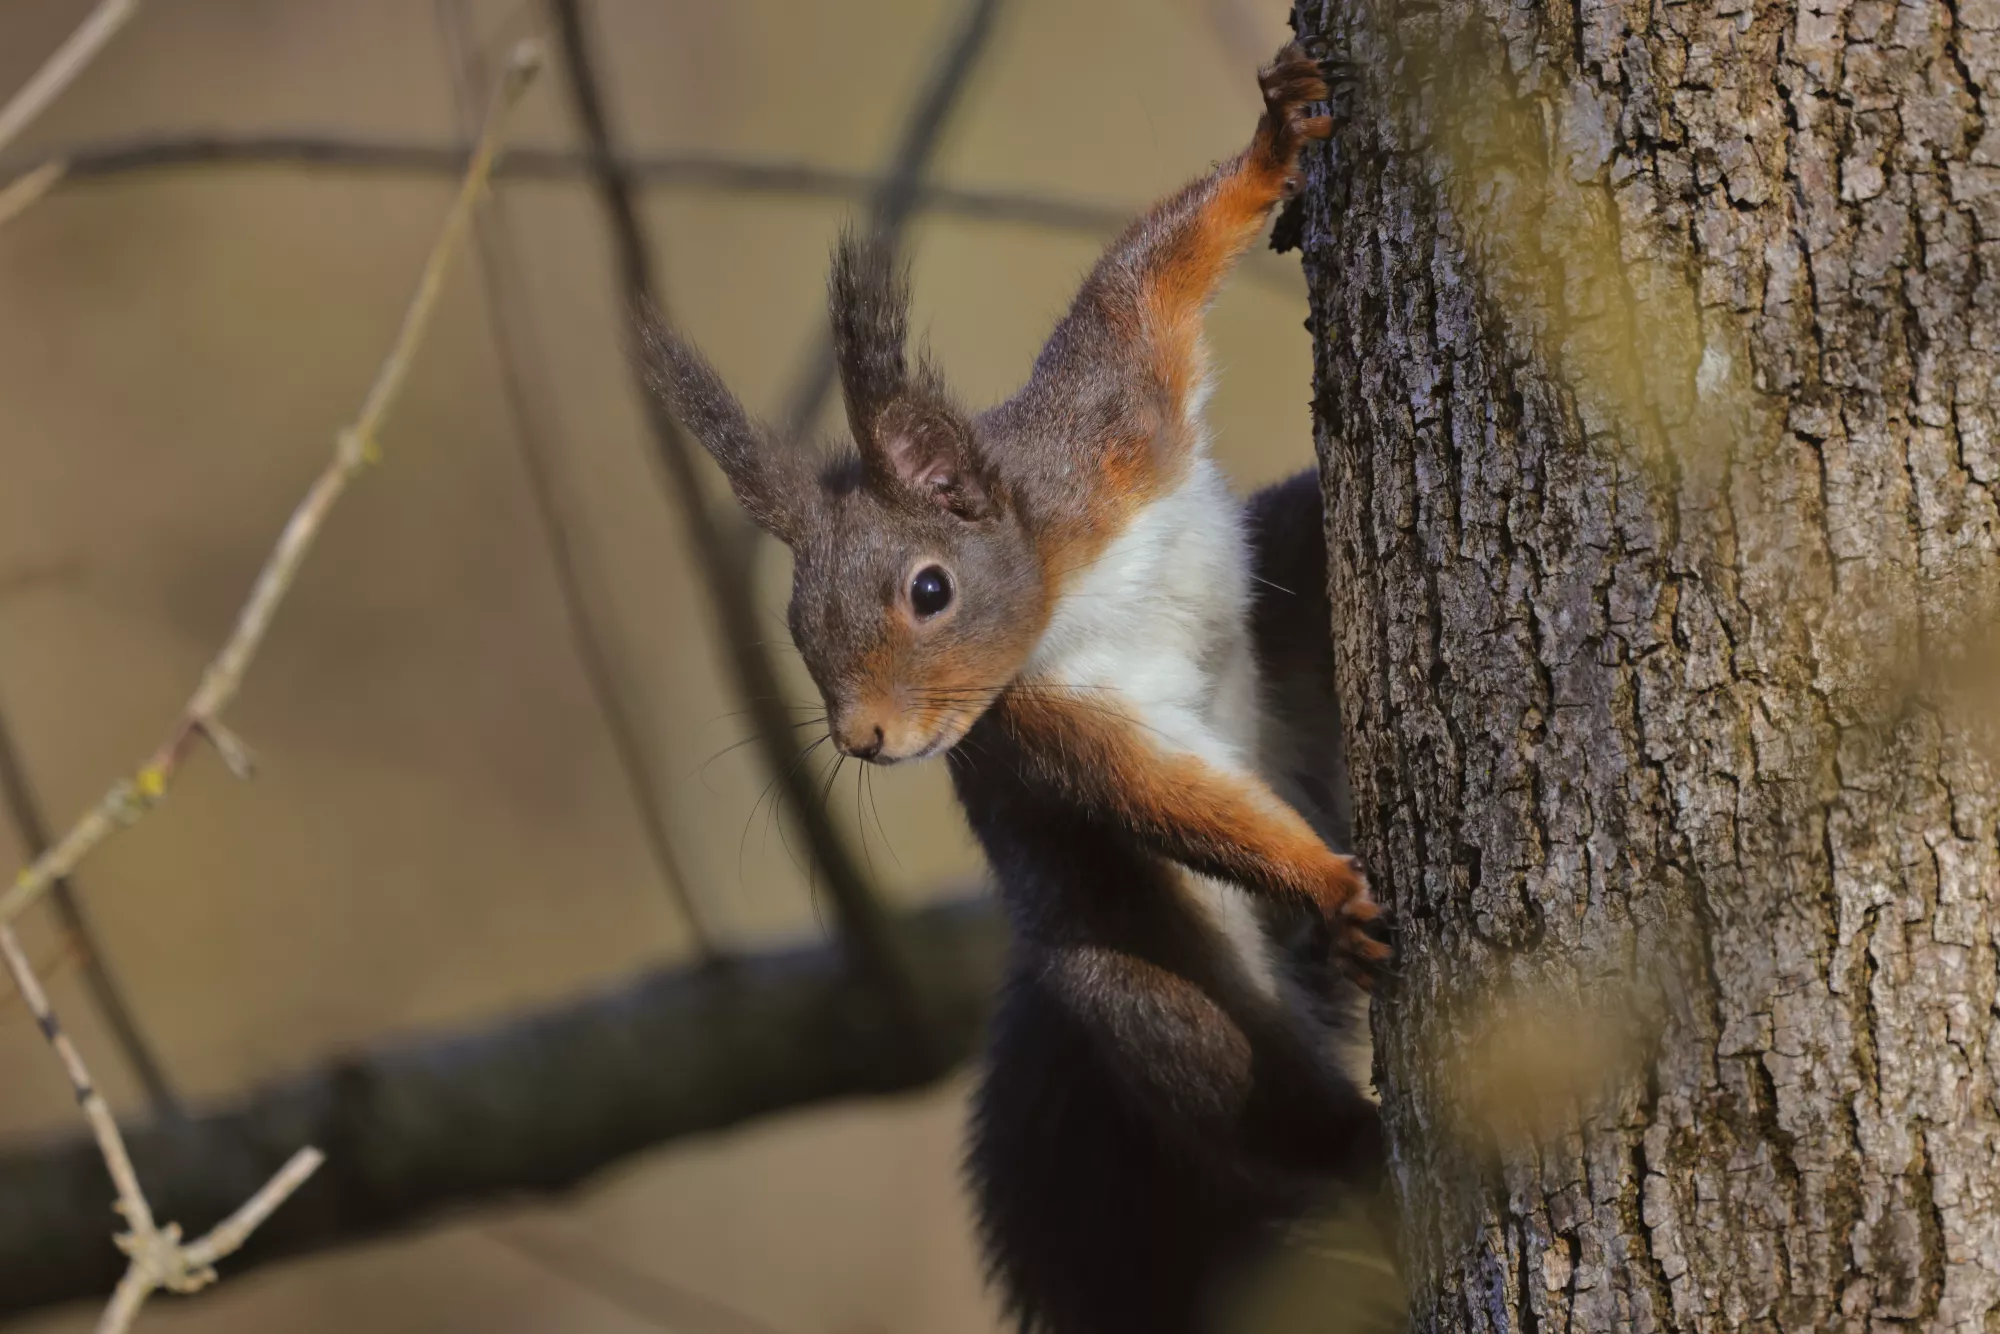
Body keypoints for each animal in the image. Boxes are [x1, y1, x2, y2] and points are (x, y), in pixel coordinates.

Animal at [640, 41, 1388, 1334]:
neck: (1064, 583)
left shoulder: (1109, 421)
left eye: (928, 589)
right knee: (1257, 1101)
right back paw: (1370, 1150)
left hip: (1288, 584)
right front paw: (1329, 882)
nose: (866, 737)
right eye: (794, 628)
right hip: (1143, 978)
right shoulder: (1042, 724)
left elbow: (1139, 282)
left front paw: (1274, 144)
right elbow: (1161, 798)